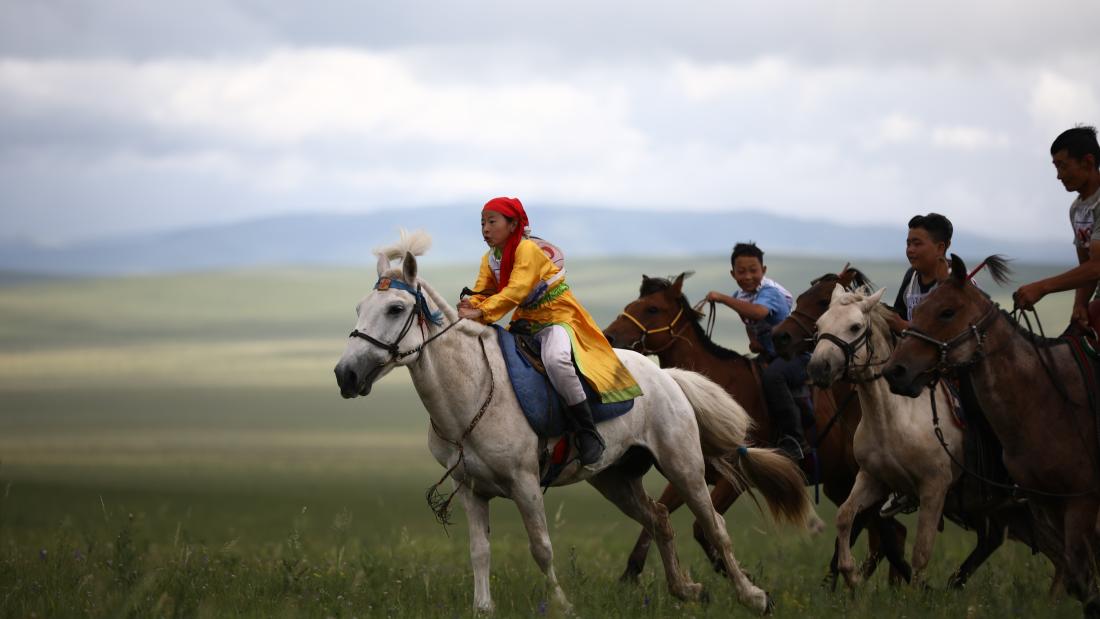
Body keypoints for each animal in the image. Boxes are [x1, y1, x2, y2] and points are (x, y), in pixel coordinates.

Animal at [333, 231, 812, 615]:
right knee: (658, 518)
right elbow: (479, 551)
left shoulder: (525, 482)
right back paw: (687, 589)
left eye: (396, 308)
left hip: (684, 465)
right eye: (358, 306)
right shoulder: (470, 489)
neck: (469, 392)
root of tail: (667, 377)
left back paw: (754, 596)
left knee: (714, 527)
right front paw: (483, 608)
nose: (345, 374)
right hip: (615, 478)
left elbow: (541, 547)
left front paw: (561, 604)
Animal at [604, 269, 909, 586]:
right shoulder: (688, 473)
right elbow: (655, 520)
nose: (609, 336)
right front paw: (630, 574)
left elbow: (702, 529)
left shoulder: (735, 478)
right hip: (841, 483)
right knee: (887, 533)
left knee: (884, 532)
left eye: (652, 308)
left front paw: (738, 574)